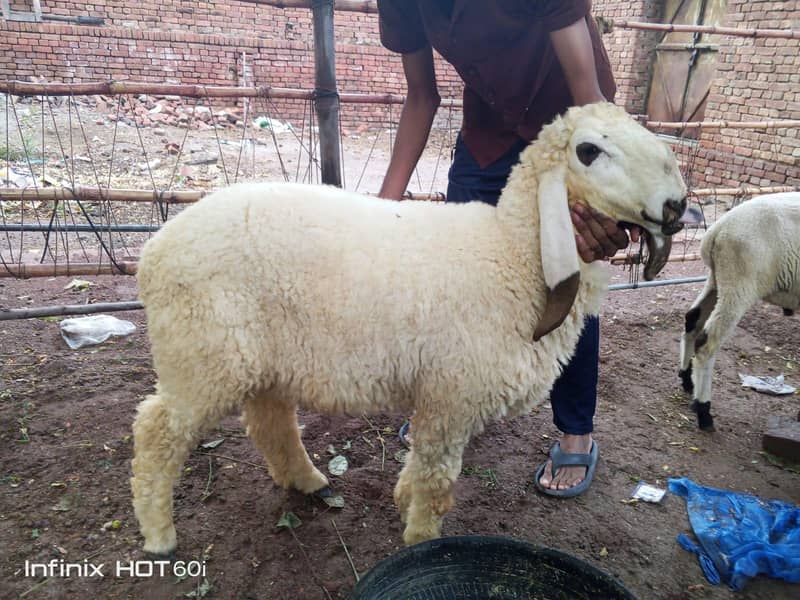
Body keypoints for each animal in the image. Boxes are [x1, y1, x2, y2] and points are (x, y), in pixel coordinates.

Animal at [130, 102, 688, 557]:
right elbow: (437, 481)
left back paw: (307, 480)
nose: (676, 205)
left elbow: (419, 464)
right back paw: (158, 534)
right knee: (157, 431)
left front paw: (402, 498)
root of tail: (154, 249)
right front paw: (421, 537)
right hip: (201, 352)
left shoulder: (440, 396)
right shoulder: (451, 395)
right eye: (588, 151)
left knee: (270, 421)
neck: (510, 254)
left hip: (261, 357)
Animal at [679, 192, 800, 430]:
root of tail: (716, 231)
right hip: (739, 284)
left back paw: (687, 379)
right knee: (707, 343)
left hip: (718, 279)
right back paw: (703, 410)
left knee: (693, 319)